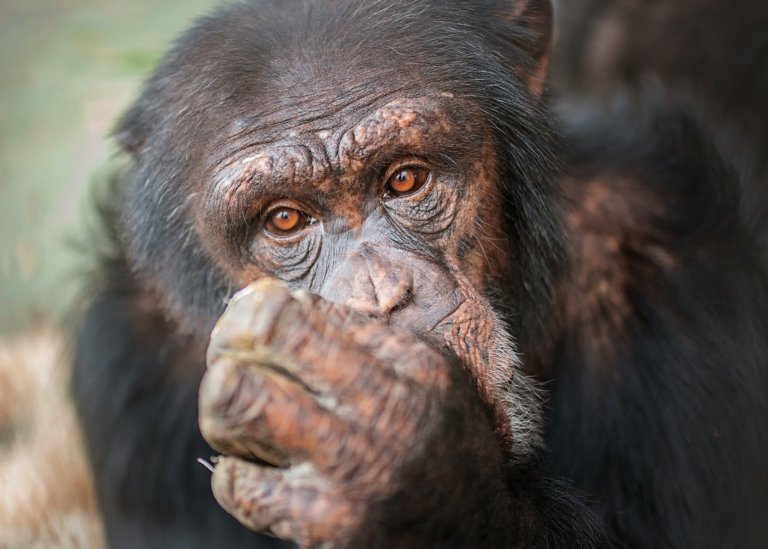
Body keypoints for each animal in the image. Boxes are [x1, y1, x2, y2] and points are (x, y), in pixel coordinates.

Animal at [73, 0, 768, 544]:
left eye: (406, 179)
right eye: (284, 220)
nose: (380, 297)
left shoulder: (668, 242)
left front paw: (398, 467)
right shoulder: (127, 364)